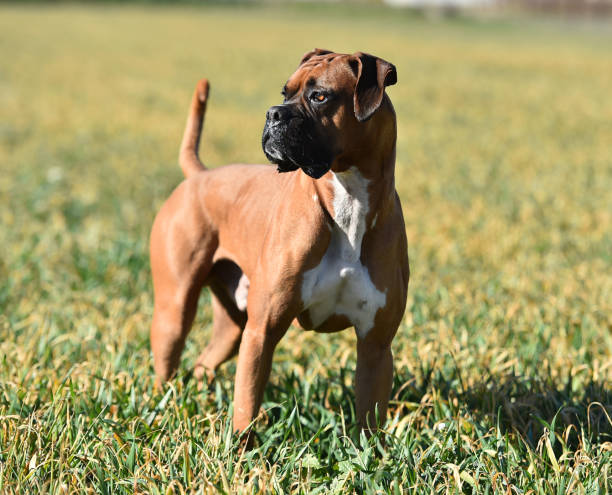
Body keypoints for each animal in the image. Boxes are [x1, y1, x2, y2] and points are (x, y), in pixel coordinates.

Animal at [149, 49, 408, 438]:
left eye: (320, 96)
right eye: (285, 93)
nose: (274, 113)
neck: (348, 202)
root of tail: (200, 175)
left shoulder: (375, 346)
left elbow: (368, 421)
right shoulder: (262, 332)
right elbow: (246, 404)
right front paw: (241, 447)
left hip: (232, 327)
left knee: (203, 363)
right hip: (175, 312)